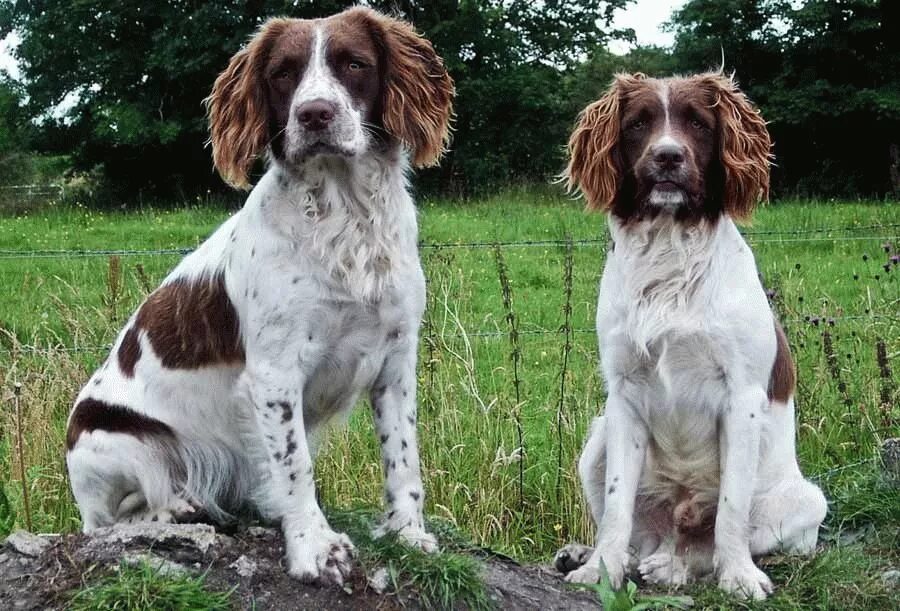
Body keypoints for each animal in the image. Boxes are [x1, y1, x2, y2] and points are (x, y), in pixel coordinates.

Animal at [67, 5, 454, 588]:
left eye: (354, 63)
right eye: (282, 73)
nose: (314, 115)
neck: (346, 217)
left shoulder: (396, 359)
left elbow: (403, 457)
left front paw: (407, 533)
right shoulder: (274, 372)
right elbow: (295, 466)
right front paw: (315, 548)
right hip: (120, 443)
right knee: (114, 518)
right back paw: (178, 508)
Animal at [556, 73, 828, 604]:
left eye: (699, 124)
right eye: (638, 123)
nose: (667, 157)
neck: (669, 255)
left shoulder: (741, 396)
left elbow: (731, 511)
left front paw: (739, 577)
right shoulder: (623, 395)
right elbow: (617, 509)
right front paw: (600, 569)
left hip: (808, 501)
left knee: (705, 549)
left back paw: (676, 569)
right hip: (595, 442)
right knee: (642, 539)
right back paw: (596, 555)